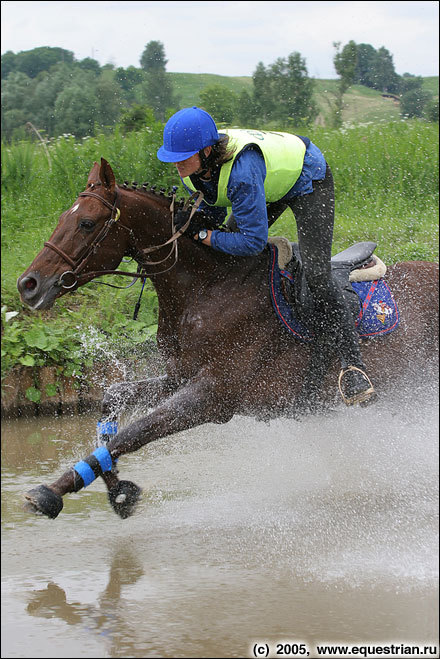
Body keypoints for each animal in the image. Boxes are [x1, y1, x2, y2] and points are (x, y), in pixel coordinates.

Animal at [16, 159, 436, 520]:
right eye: (62, 218)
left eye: (87, 223)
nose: (28, 284)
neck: (211, 287)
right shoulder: (180, 377)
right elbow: (112, 400)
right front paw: (117, 491)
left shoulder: (212, 395)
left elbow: (135, 432)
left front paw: (51, 492)